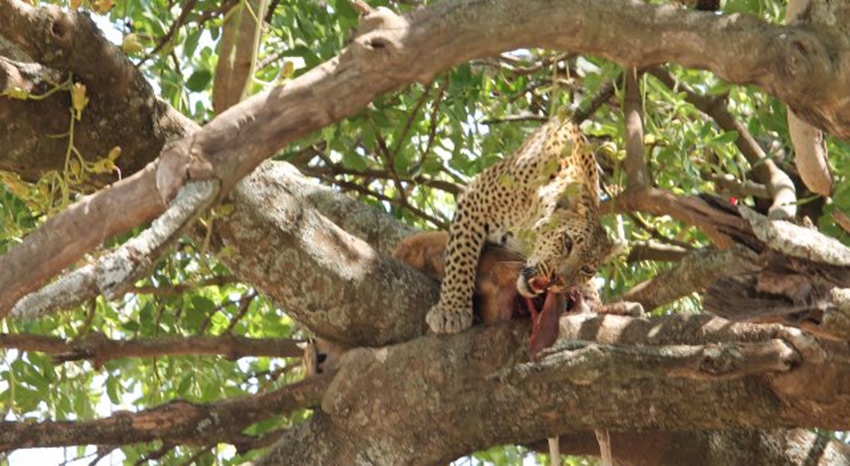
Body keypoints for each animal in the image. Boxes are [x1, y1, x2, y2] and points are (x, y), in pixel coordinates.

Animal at [425, 116, 619, 334]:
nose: (558, 279)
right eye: (567, 242)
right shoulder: (474, 199)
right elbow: (461, 257)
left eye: (586, 269)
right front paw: (451, 310)